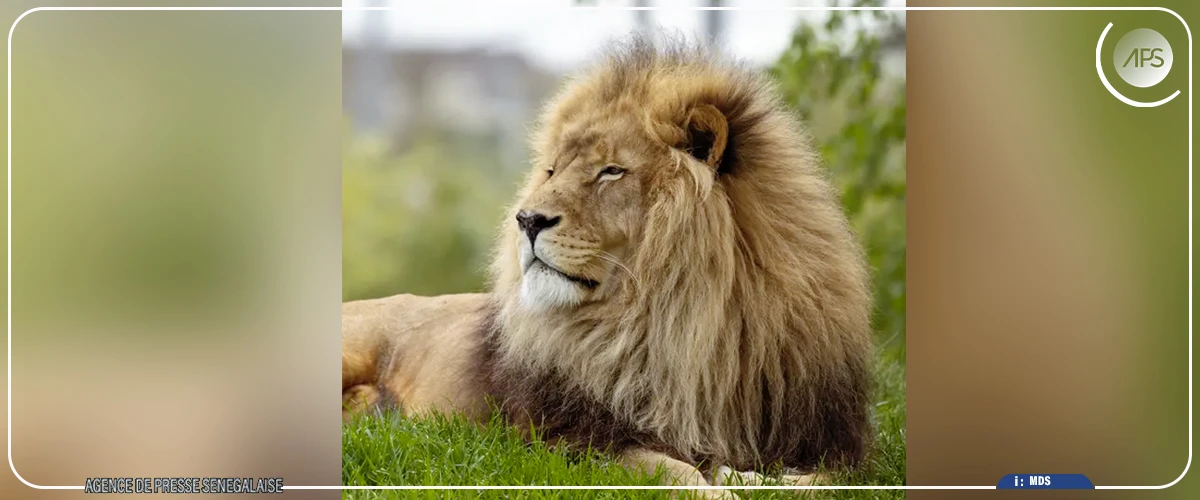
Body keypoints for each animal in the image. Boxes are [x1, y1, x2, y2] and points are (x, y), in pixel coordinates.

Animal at [342, 36, 875, 492]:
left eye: (611, 171)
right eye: (552, 170)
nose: (526, 220)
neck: (681, 327)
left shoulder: (830, 446)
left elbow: (825, 480)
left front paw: (754, 478)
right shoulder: (569, 441)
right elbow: (676, 472)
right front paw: (720, 486)